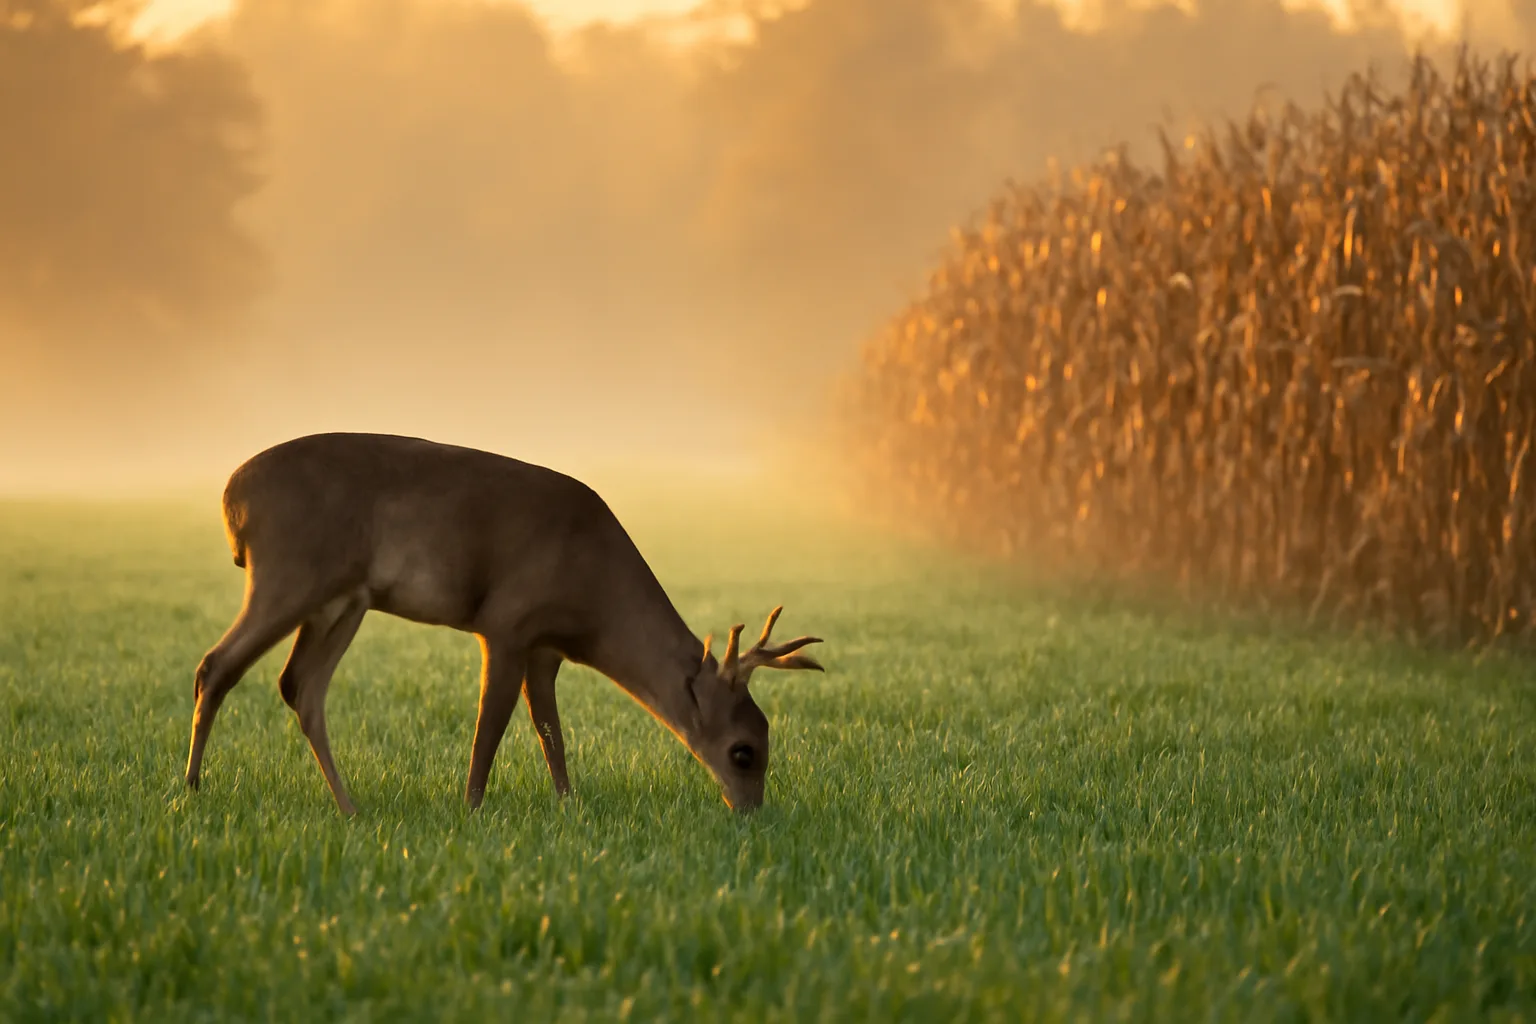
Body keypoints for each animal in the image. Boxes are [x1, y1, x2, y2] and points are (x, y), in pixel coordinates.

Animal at [182, 432, 826, 815]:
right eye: (743, 752)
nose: (750, 811)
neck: (594, 596)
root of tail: (232, 499)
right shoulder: (506, 622)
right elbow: (491, 726)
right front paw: (471, 810)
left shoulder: (544, 647)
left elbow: (549, 730)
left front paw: (568, 806)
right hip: (289, 574)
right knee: (217, 665)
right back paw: (190, 791)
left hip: (342, 600)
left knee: (301, 688)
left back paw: (350, 808)